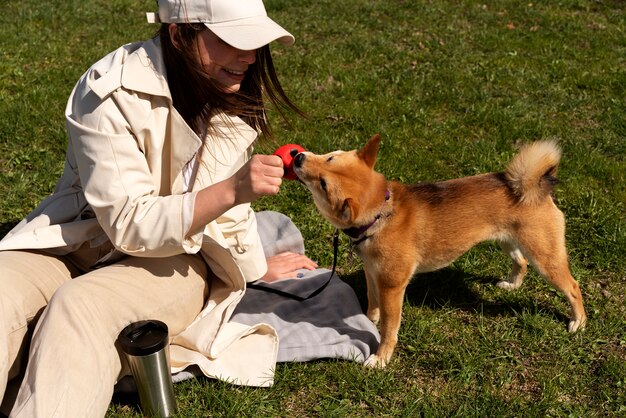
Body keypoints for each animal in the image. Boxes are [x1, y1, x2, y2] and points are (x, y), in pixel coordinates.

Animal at [292, 136, 584, 368]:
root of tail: (534, 185)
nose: (297, 156)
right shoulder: (373, 274)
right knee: (520, 262)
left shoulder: (392, 287)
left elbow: (389, 328)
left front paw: (381, 358)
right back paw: (512, 285)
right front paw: (368, 319)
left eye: (324, 183)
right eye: (330, 157)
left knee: (573, 286)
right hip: (509, 241)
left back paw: (578, 322)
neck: (381, 215)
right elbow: (372, 304)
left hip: (545, 258)